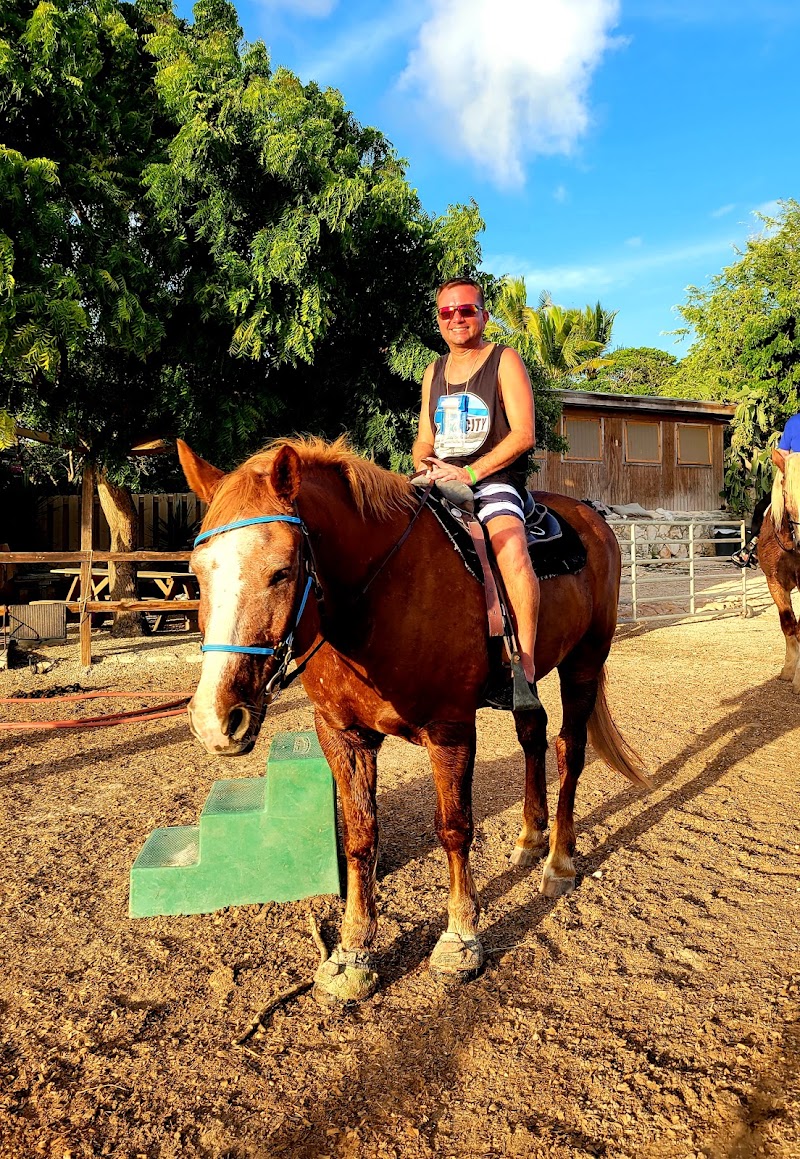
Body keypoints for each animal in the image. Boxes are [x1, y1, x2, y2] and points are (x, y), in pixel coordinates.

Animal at [177, 436, 649, 1004]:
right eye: (197, 571)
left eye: (282, 571)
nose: (216, 719)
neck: (378, 600)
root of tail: (591, 518)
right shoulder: (342, 735)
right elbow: (361, 837)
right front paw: (353, 951)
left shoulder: (450, 730)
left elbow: (454, 828)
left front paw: (460, 939)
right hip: (530, 677)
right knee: (533, 737)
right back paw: (531, 839)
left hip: (584, 663)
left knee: (569, 750)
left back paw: (559, 860)